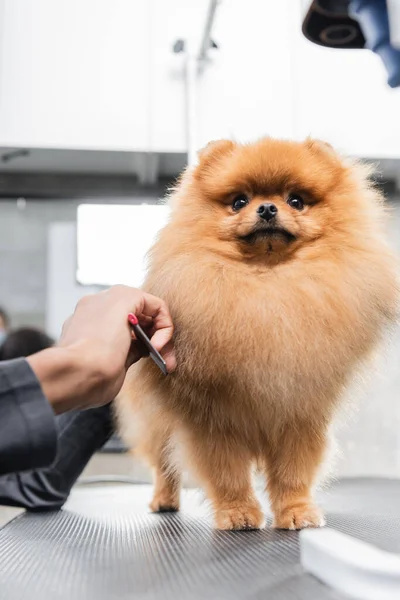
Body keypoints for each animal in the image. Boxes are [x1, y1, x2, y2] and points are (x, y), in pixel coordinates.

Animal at [115, 139, 396, 528]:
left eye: (296, 200)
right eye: (238, 202)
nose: (266, 208)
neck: (267, 285)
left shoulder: (300, 415)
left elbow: (294, 472)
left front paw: (296, 511)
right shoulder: (213, 421)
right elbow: (228, 472)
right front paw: (238, 513)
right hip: (156, 424)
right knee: (164, 465)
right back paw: (164, 500)